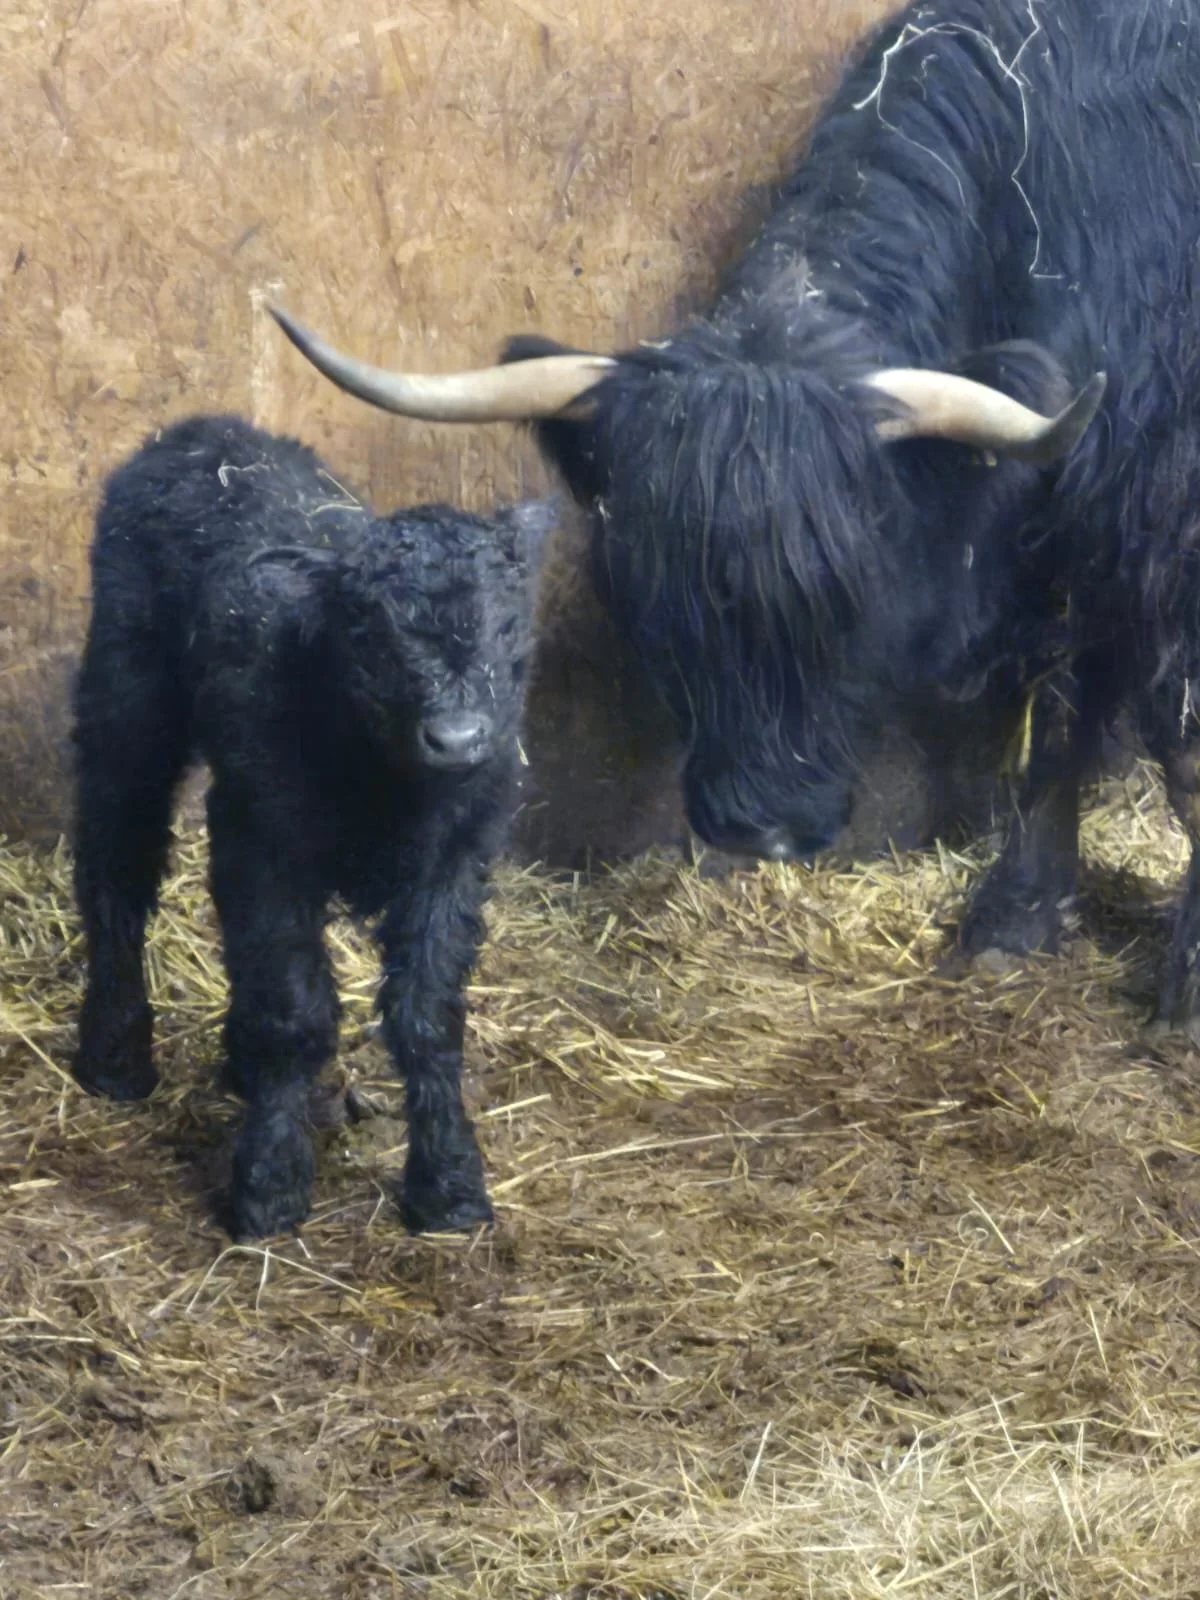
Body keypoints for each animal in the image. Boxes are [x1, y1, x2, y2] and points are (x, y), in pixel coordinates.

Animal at [72, 414, 553, 1238]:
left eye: (506, 624)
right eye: (368, 629)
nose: (458, 738)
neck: (389, 783)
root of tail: (200, 431)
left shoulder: (458, 858)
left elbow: (428, 1015)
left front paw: (450, 1184)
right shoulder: (267, 843)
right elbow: (293, 1014)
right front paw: (269, 1185)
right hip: (124, 691)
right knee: (116, 863)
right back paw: (116, 1057)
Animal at [267, 0, 1200, 1038]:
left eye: (853, 595)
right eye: (663, 605)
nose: (766, 829)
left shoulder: (1145, 527)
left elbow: (1131, 724)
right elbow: (1057, 704)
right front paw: (1017, 916)